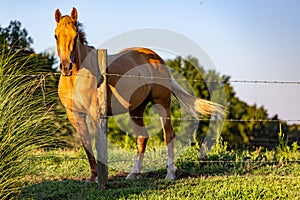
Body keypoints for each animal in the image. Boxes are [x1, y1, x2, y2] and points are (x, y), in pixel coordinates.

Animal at [54, 7, 224, 181]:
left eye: (75, 36)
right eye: (56, 35)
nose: (66, 67)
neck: (76, 78)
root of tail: (158, 59)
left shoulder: (95, 114)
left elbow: (97, 144)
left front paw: (98, 177)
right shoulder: (74, 115)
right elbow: (86, 144)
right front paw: (93, 176)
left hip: (161, 104)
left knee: (168, 135)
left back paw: (170, 174)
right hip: (136, 109)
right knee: (142, 137)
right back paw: (133, 173)